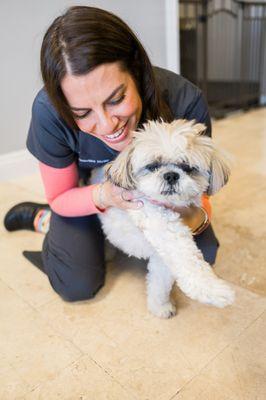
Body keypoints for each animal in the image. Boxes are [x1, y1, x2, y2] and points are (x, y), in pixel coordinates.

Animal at [92, 119, 235, 318]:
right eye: (153, 166)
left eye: (188, 167)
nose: (171, 175)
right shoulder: (164, 230)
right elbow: (189, 263)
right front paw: (215, 291)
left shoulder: (162, 258)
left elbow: (160, 284)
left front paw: (160, 307)